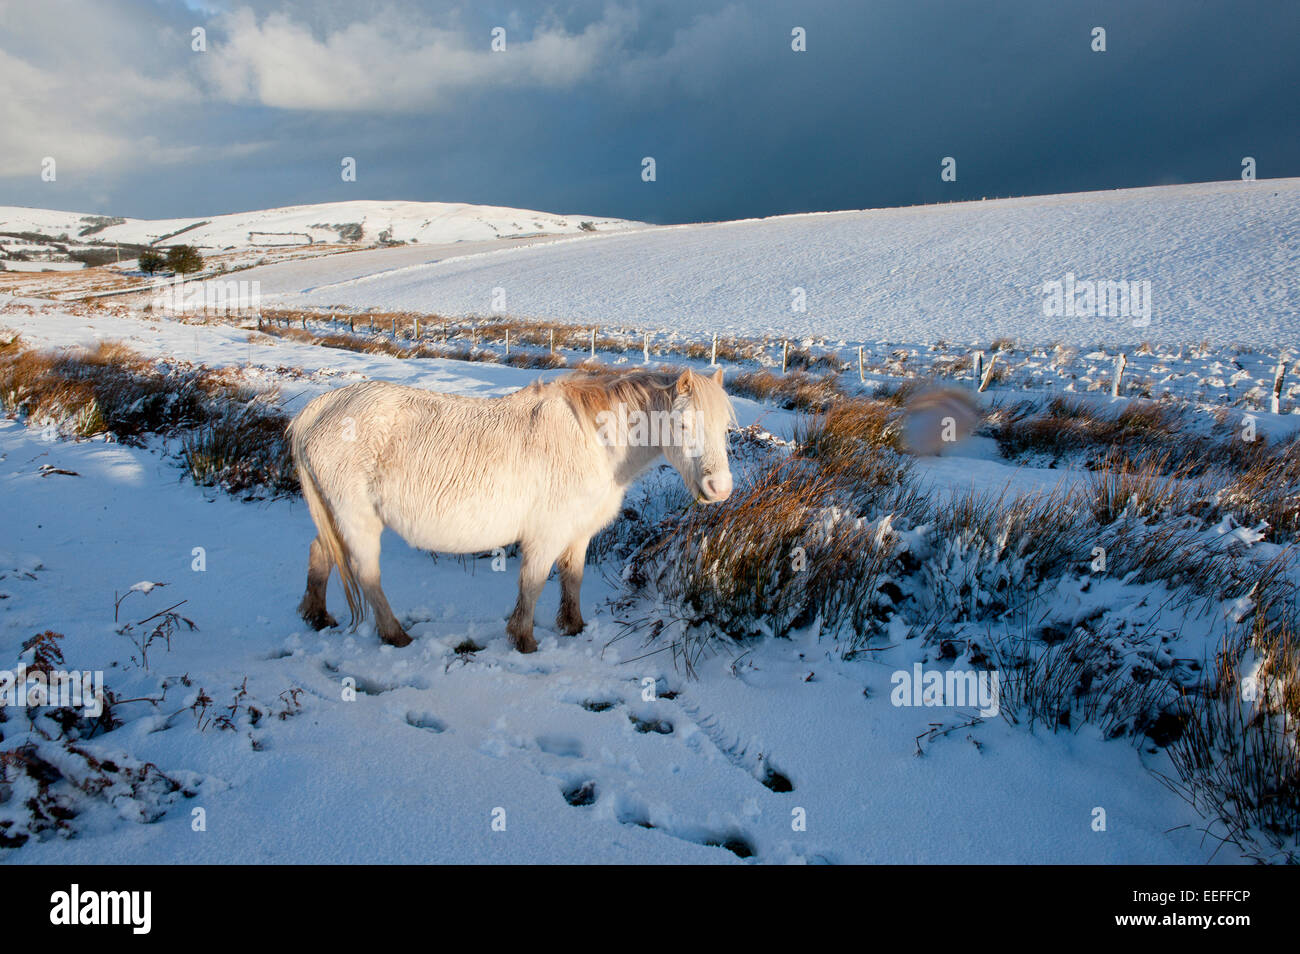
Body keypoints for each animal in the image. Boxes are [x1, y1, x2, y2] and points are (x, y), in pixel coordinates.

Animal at [287, 369, 733, 655]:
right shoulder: (546, 535)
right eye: (683, 425)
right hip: (358, 521)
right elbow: (532, 585)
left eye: (726, 427)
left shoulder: (578, 533)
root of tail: (320, 408)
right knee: (367, 574)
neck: (594, 442)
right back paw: (395, 635)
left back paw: (317, 616)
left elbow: (572, 580)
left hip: (337, 519)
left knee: (319, 554)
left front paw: (573, 628)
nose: (720, 489)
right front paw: (524, 640)